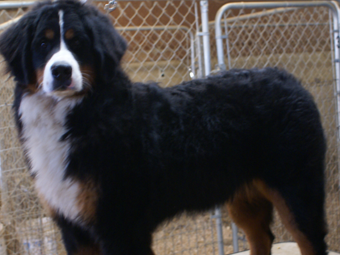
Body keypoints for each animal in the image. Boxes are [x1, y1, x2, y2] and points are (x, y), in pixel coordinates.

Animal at [0, 0, 328, 255]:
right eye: (43, 44)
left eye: (78, 43)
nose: (61, 71)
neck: (78, 116)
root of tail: (289, 78)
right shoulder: (74, 228)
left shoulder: (121, 226)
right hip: (244, 197)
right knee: (262, 237)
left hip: (296, 190)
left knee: (310, 240)